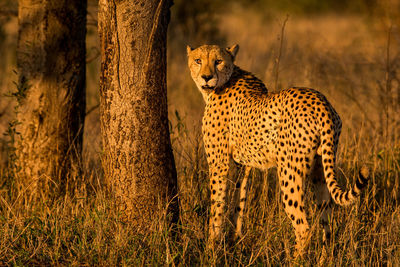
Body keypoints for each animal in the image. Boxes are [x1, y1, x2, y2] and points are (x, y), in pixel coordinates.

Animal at [187, 44, 368, 258]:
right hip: (321, 168)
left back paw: (295, 259)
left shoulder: (219, 163)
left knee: (303, 227)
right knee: (327, 219)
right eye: (198, 60)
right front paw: (236, 241)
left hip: (289, 172)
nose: (206, 77)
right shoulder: (244, 165)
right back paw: (325, 258)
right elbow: (240, 201)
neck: (226, 80)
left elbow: (217, 204)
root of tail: (321, 102)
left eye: (218, 61)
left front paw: (211, 247)